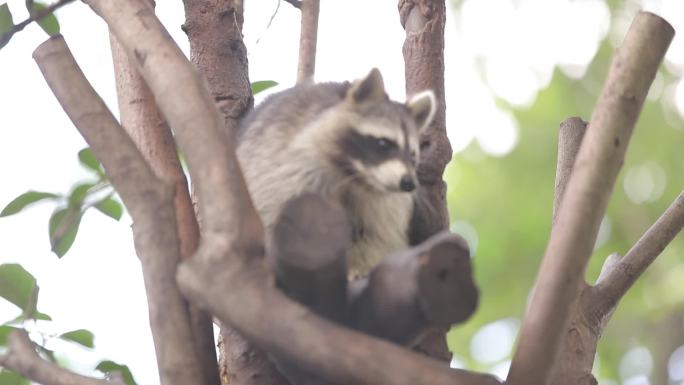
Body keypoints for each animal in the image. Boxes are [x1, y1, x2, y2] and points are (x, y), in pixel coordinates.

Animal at [238, 67, 436, 274]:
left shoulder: (382, 200)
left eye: (413, 156)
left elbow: (377, 236)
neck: (354, 174)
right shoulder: (286, 167)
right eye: (383, 143)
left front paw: (359, 268)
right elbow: (274, 214)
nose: (408, 183)